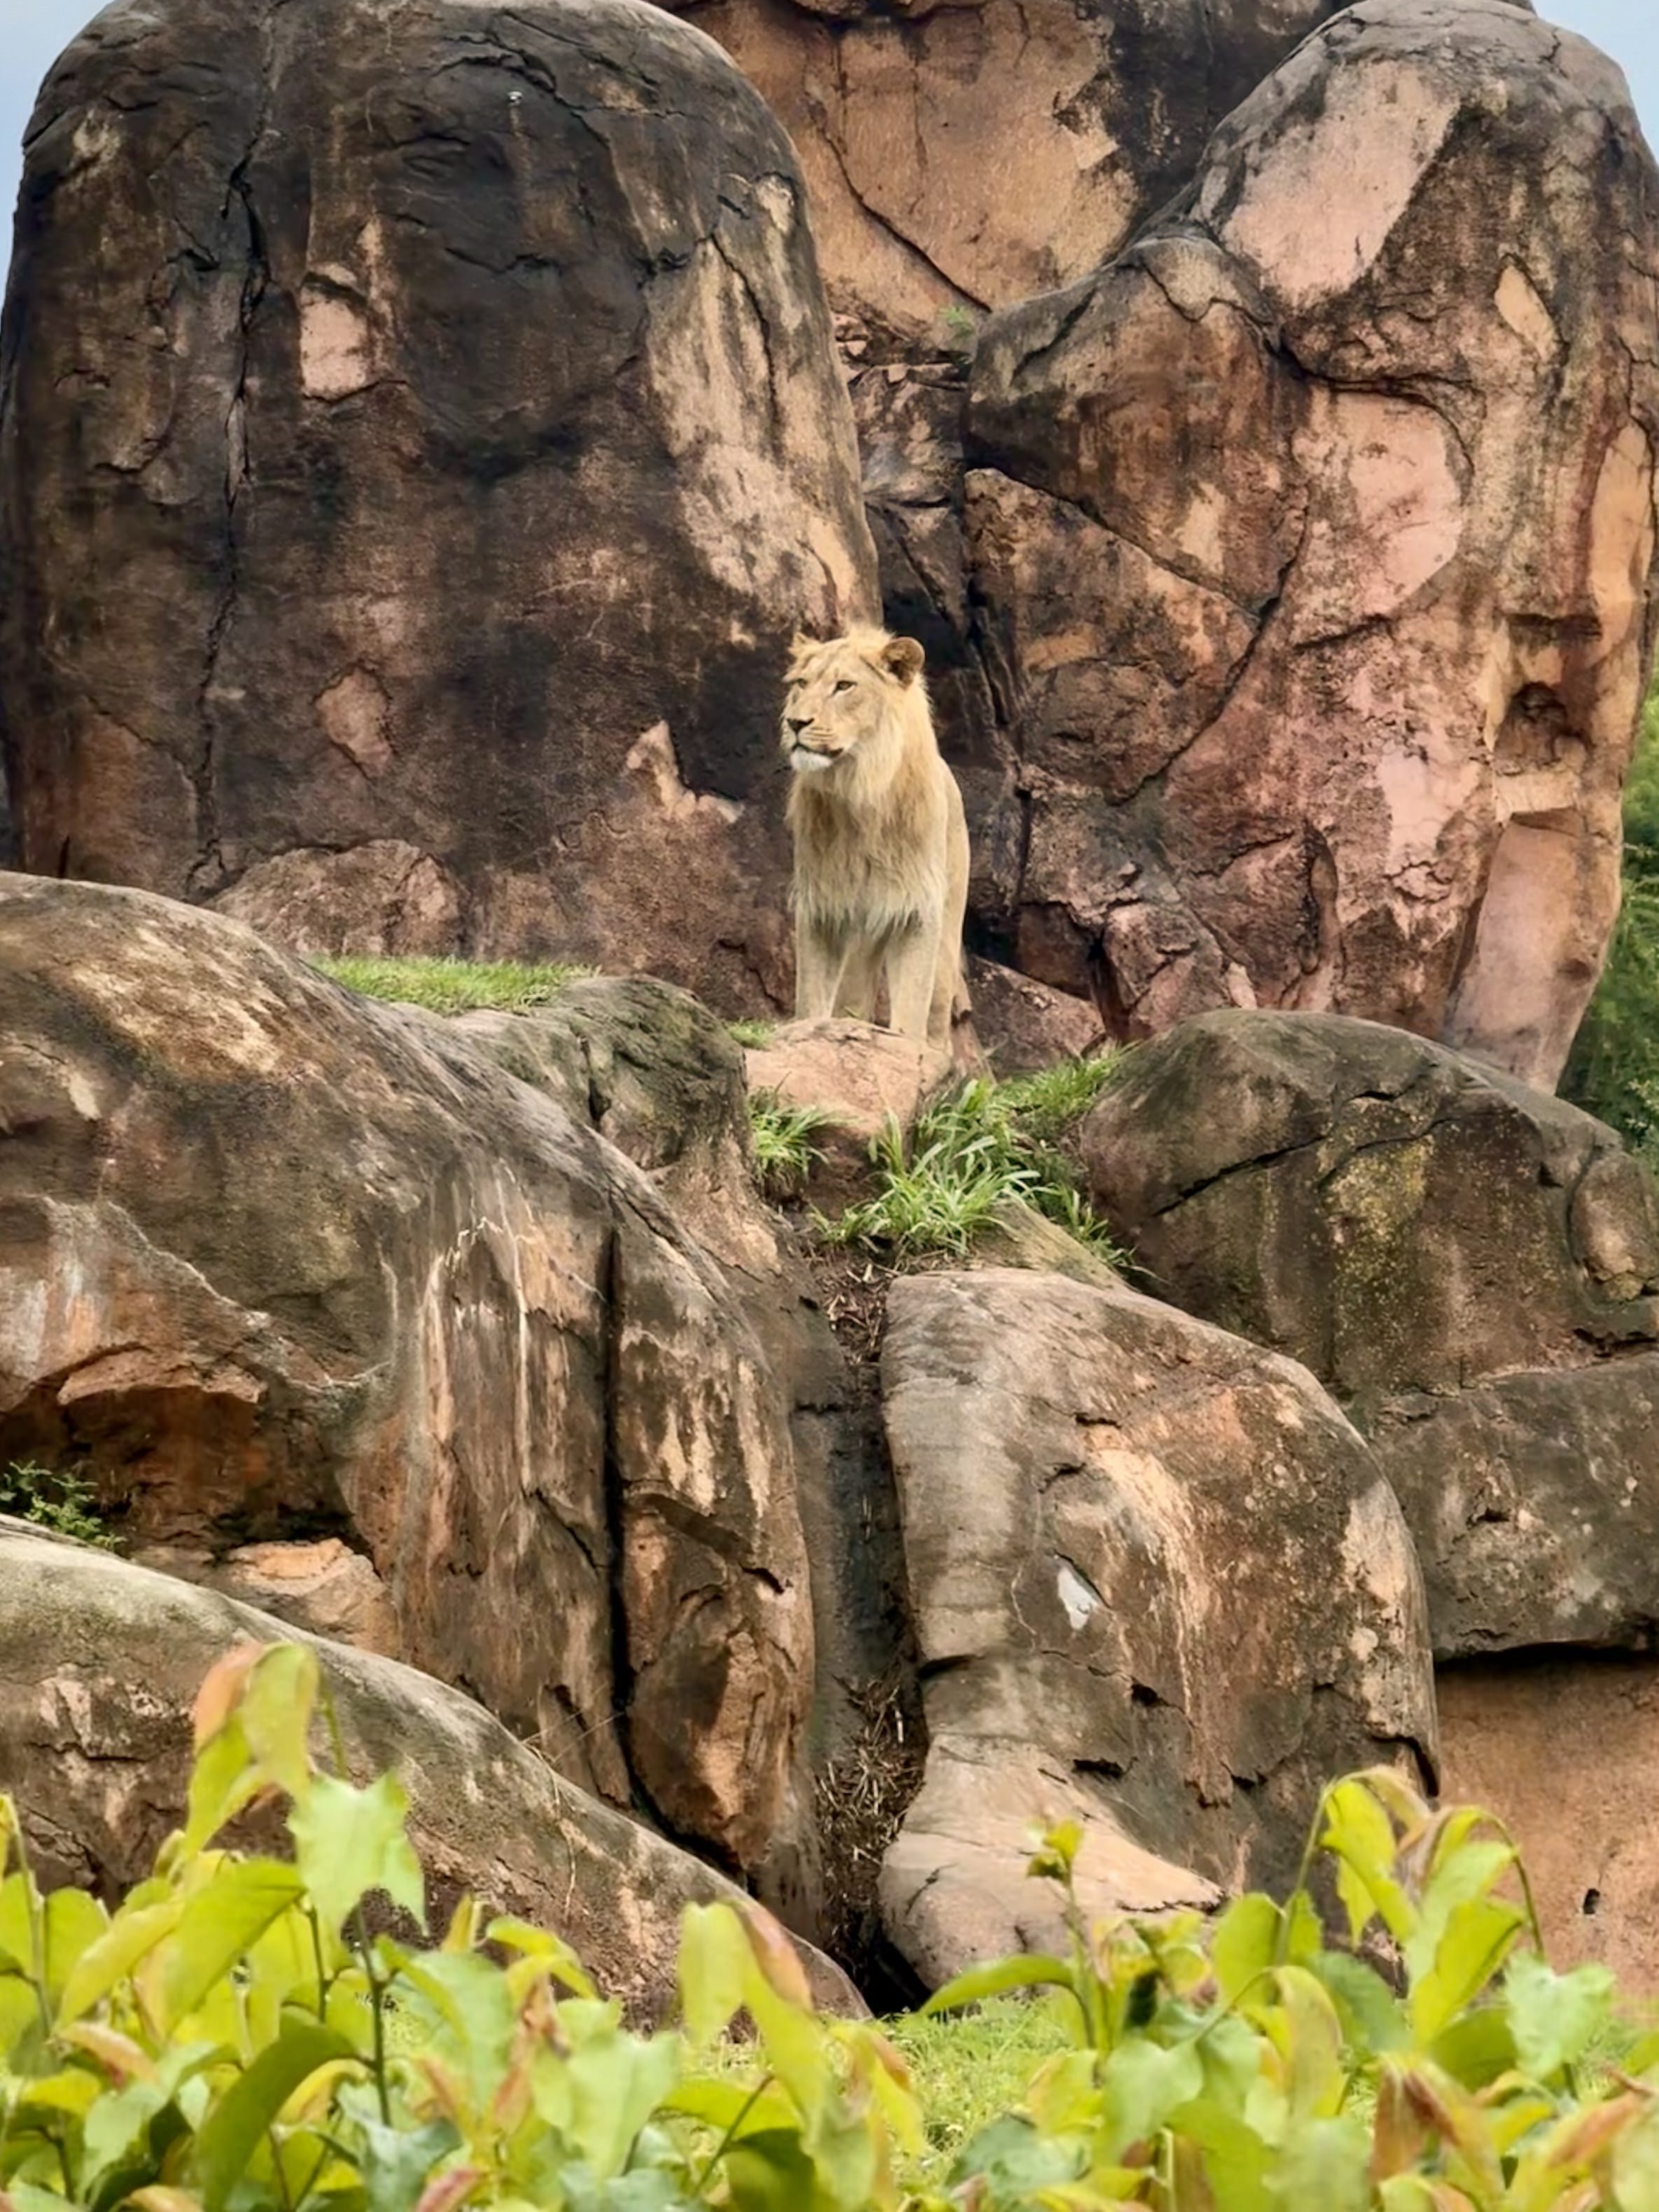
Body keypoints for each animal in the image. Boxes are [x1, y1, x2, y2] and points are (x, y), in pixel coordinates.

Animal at [780, 626, 971, 1052]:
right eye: (802, 684)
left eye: (844, 686)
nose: (795, 723)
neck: (859, 793)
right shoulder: (821, 904)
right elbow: (811, 999)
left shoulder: (918, 907)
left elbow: (912, 1008)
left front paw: (905, 1053)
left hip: (947, 942)